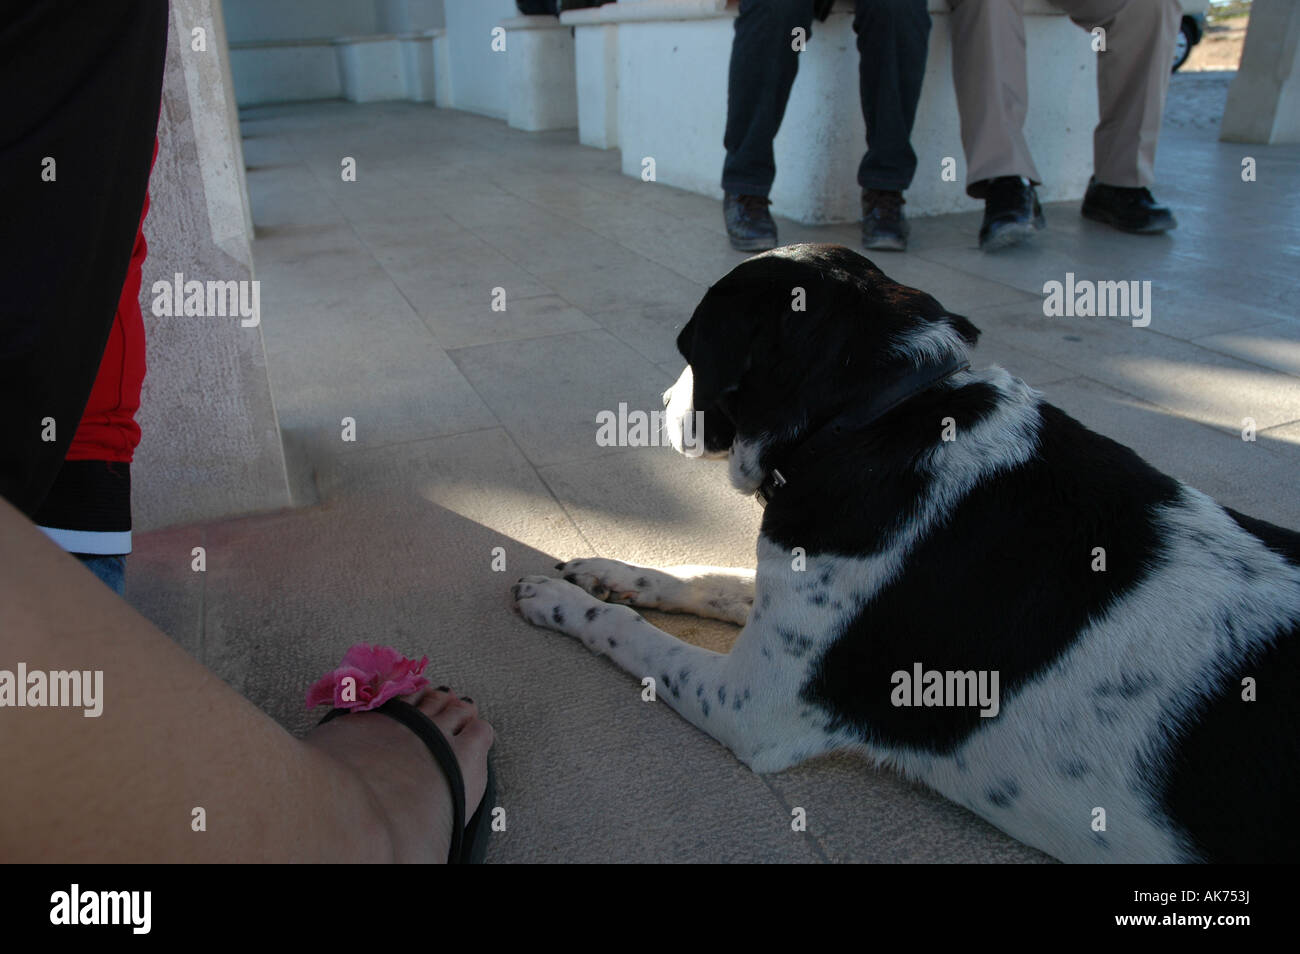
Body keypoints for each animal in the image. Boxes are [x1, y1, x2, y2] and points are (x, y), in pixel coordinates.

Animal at [512, 243, 1294, 863]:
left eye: (688, 348)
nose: (661, 399)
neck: (873, 419)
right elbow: (698, 577)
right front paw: (605, 573)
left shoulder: (751, 702)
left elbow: (630, 633)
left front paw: (558, 600)